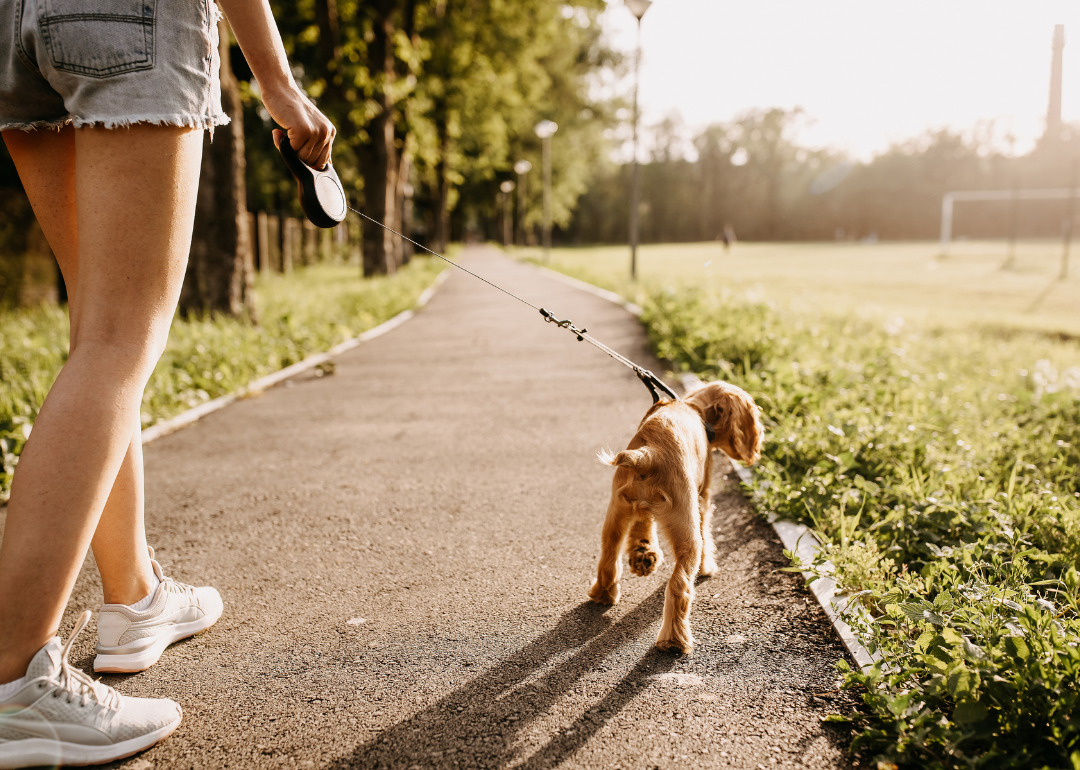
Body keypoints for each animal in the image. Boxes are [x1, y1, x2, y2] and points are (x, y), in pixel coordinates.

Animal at [591, 382, 760, 652]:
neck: (695, 408)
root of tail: (647, 454)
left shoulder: (640, 511)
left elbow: (643, 527)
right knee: (679, 585)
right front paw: (707, 568)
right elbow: (706, 532)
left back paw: (603, 594)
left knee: (608, 556)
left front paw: (643, 554)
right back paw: (674, 641)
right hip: (687, 533)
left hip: (615, 515)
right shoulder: (702, 498)